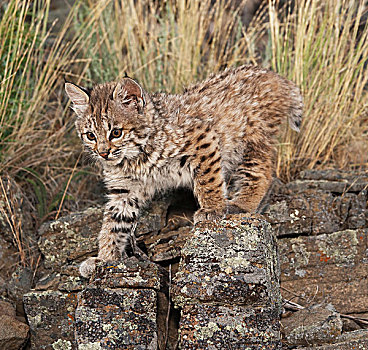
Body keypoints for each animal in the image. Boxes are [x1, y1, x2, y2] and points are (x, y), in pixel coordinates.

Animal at [65, 63, 302, 276]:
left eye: (116, 133)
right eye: (90, 136)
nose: (103, 153)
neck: (134, 158)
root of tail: (270, 73)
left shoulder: (202, 137)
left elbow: (208, 179)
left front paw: (213, 209)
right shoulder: (124, 189)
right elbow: (113, 225)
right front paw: (104, 259)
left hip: (251, 140)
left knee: (262, 171)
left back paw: (241, 205)